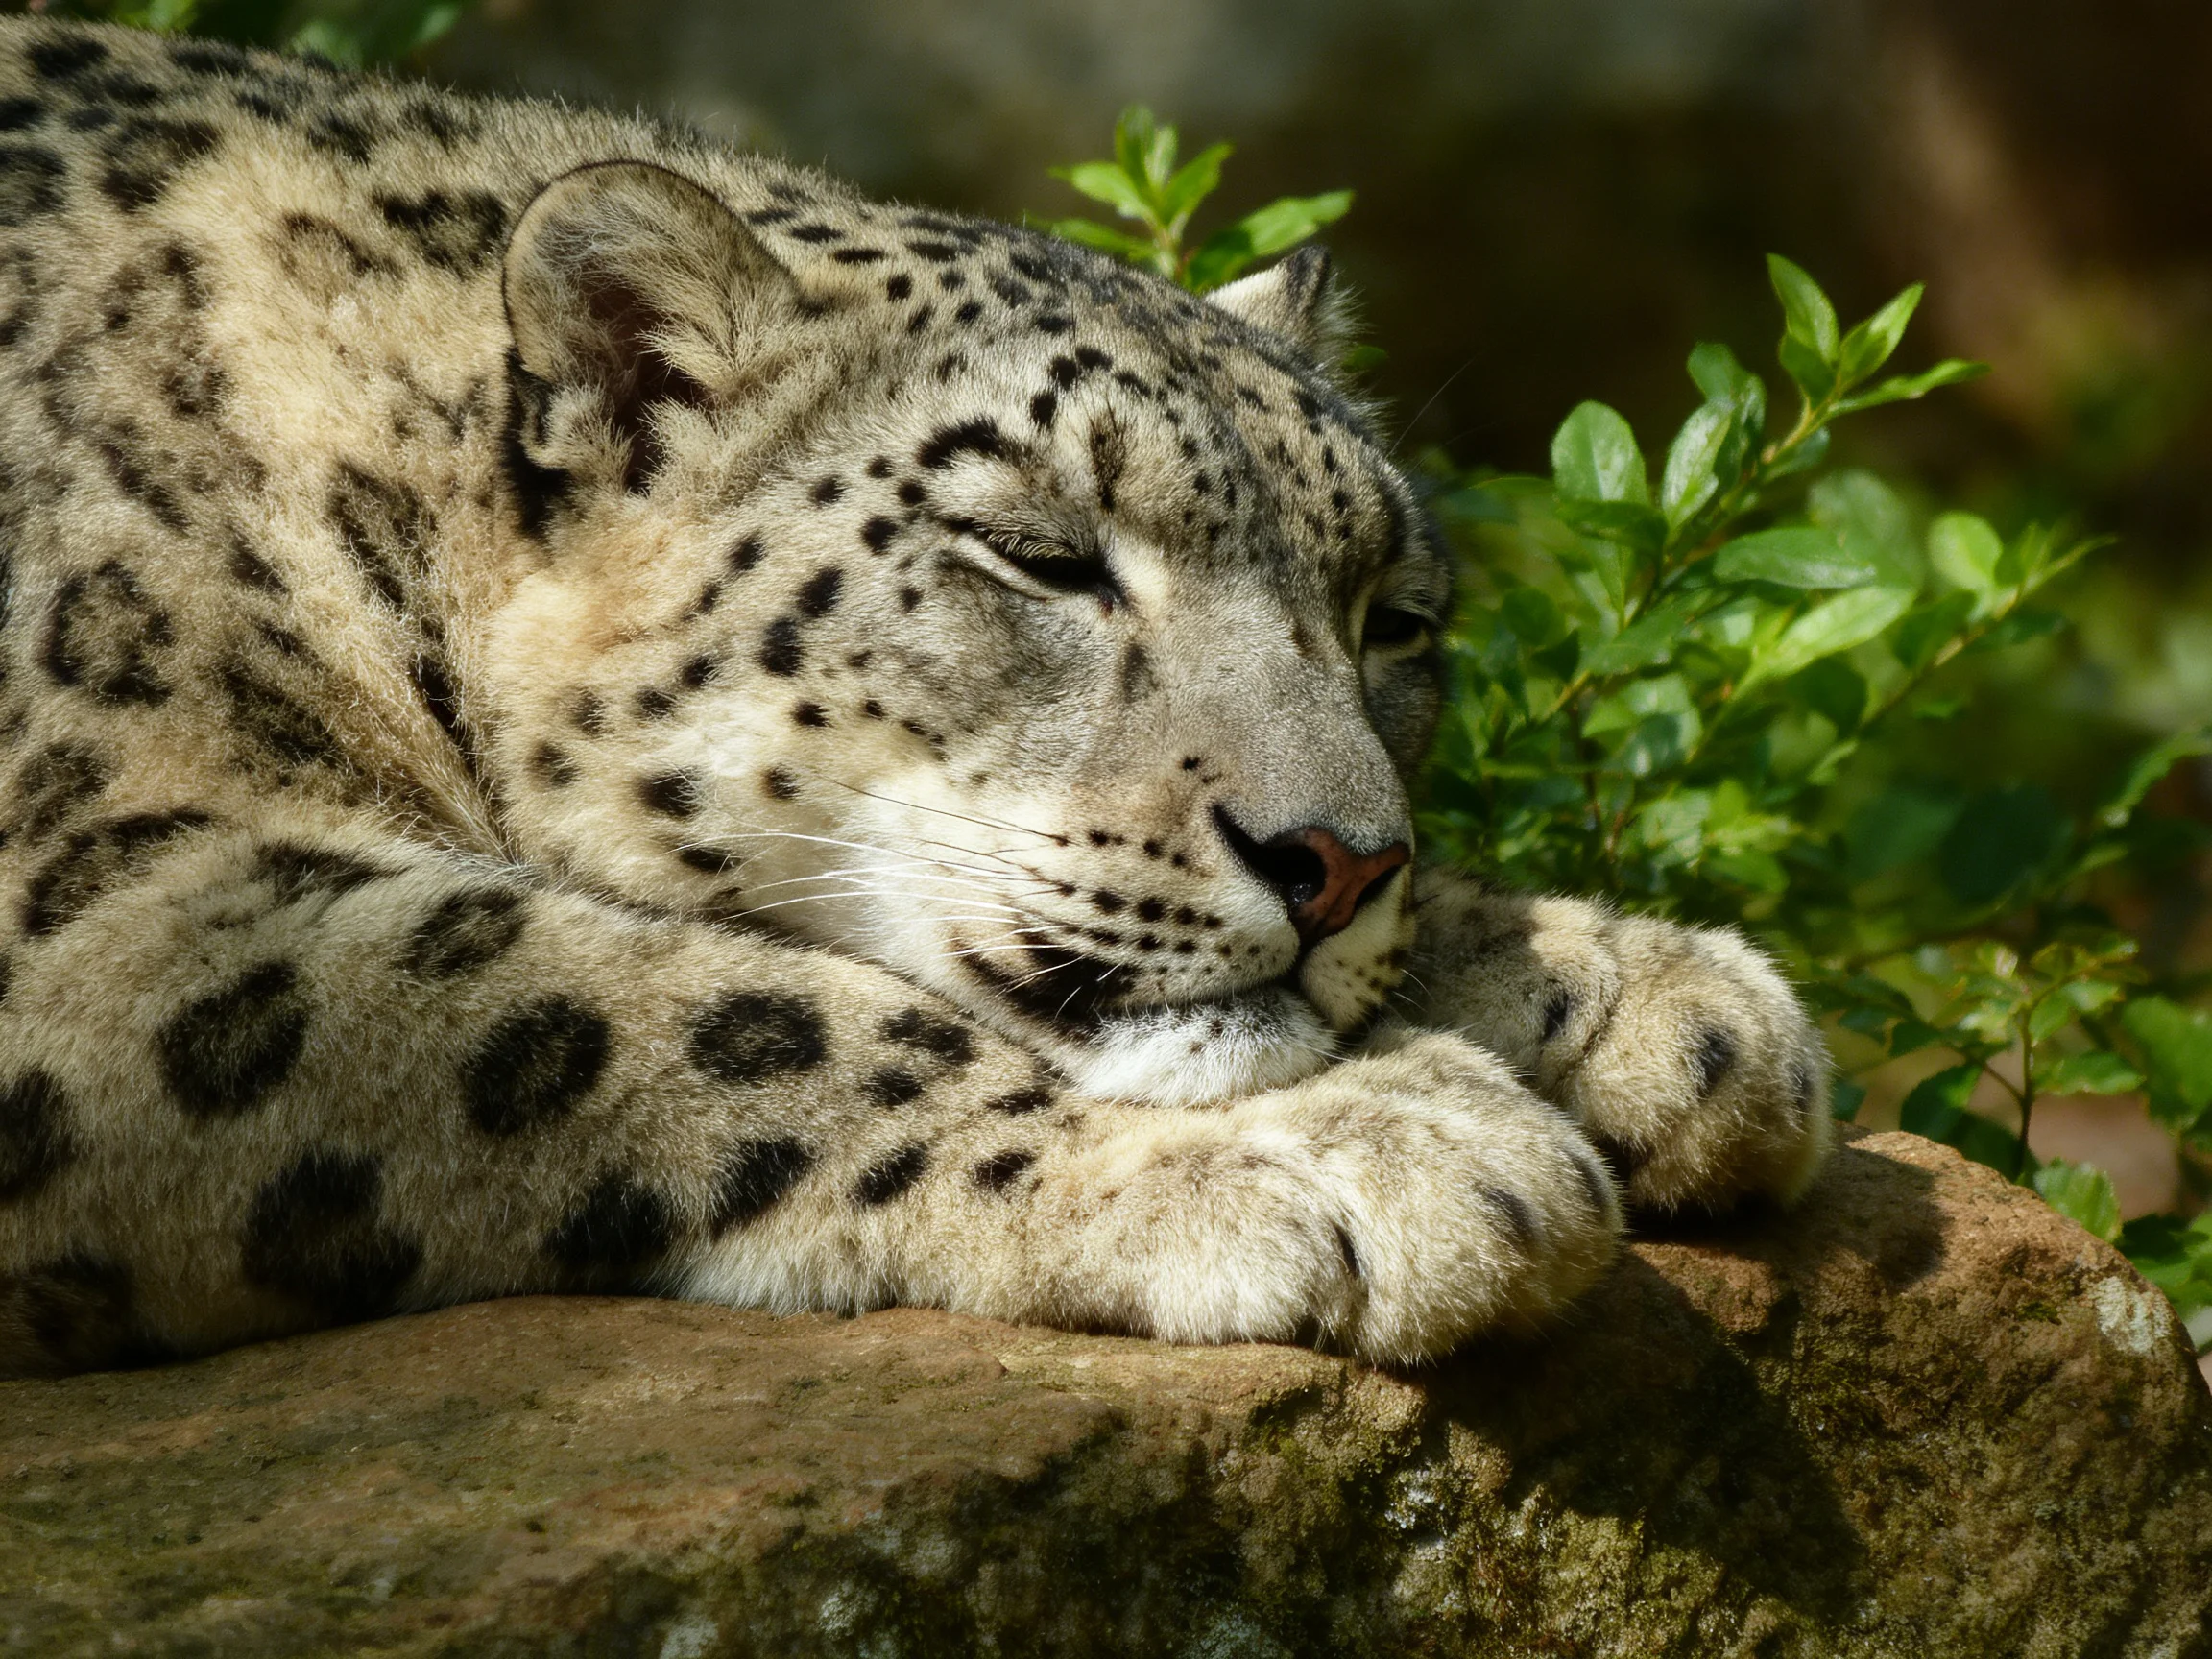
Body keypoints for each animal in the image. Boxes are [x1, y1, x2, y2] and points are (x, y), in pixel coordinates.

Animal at [0, 19, 1830, 1378]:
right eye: (1042, 556)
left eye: (1394, 618)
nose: (1339, 862)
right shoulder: (103, 901)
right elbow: (652, 999)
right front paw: (1366, 1144)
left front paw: (1650, 1000)